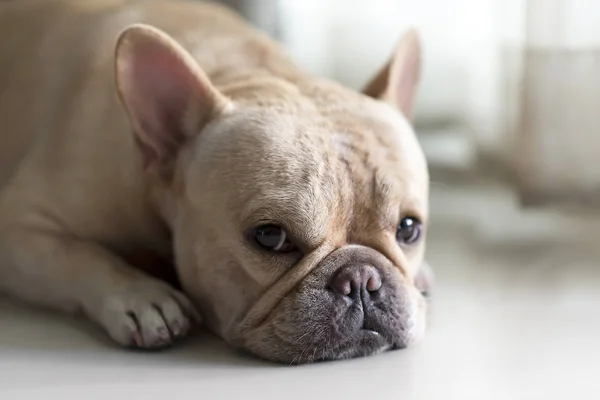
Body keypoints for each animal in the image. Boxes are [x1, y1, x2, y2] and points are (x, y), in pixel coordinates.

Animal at [0, 0, 432, 364]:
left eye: (409, 229)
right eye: (270, 237)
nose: (361, 278)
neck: (243, 75)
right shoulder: (18, 228)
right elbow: (81, 255)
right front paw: (141, 296)